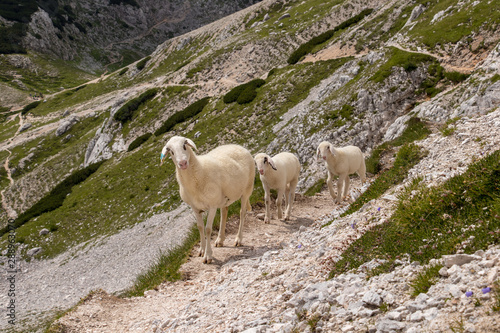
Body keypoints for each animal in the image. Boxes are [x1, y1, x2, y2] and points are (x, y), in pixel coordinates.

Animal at [160, 136, 254, 264]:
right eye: (171, 151)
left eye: (184, 146)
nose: (183, 163)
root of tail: (238, 146)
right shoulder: (194, 207)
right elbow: (200, 227)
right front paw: (201, 250)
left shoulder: (212, 205)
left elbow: (208, 229)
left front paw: (208, 255)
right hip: (223, 198)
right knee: (224, 213)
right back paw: (220, 239)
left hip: (247, 189)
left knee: (242, 212)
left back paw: (238, 239)